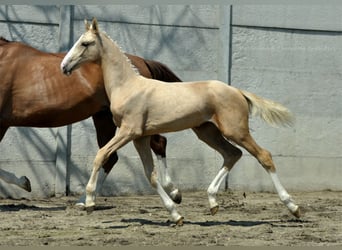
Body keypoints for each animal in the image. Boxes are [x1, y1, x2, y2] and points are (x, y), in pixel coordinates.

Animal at [0, 35, 182, 203]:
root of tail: (143, 62)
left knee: (157, 143)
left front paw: (24, 182)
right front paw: (25, 182)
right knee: (113, 157)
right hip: (105, 118)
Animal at [60, 18, 300, 226]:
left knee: (263, 156)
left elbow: (101, 155)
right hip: (207, 132)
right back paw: (213, 202)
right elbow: (151, 176)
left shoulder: (128, 131)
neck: (128, 86)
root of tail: (238, 91)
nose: (64, 66)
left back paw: (293, 207)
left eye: (85, 43)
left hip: (236, 131)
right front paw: (176, 215)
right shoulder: (140, 138)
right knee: (232, 154)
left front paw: (89, 203)